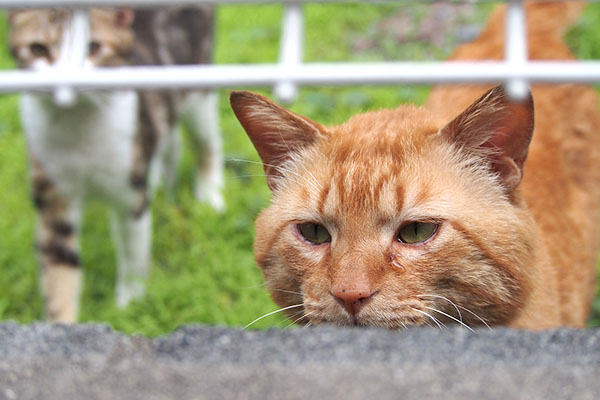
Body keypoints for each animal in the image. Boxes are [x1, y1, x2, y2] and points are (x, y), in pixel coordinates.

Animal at [8, 7, 224, 324]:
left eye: (93, 48)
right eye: (38, 49)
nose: (66, 85)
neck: (77, 129)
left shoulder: (129, 194)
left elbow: (133, 249)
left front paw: (130, 301)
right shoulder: (52, 192)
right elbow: (58, 268)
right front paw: (61, 323)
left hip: (197, 87)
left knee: (206, 141)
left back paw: (210, 194)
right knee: (167, 137)